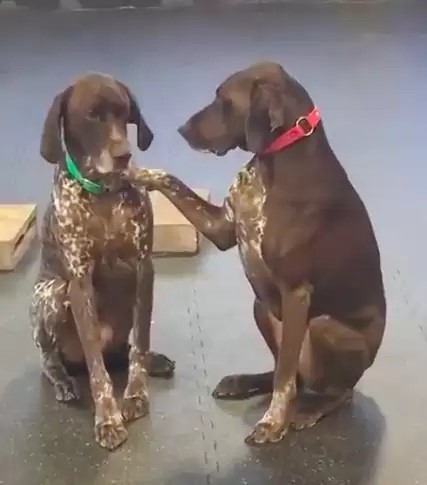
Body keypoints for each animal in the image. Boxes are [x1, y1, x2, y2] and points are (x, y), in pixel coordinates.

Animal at [30, 73, 176, 450]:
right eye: (92, 116)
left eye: (124, 114)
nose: (124, 155)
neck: (103, 195)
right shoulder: (79, 283)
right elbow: (97, 370)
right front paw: (107, 418)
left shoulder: (143, 268)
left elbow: (141, 343)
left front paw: (136, 394)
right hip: (52, 295)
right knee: (53, 359)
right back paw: (64, 381)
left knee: (126, 350)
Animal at [130, 61, 388, 446]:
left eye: (224, 100)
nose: (181, 130)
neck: (276, 159)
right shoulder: (221, 227)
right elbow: (173, 182)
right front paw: (136, 172)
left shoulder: (296, 294)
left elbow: (284, 381)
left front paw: (272, 423)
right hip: (261, 306)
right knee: (292, 373)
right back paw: (244, 382)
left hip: (323, 327)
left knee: (332, 389)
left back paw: (310, 409)